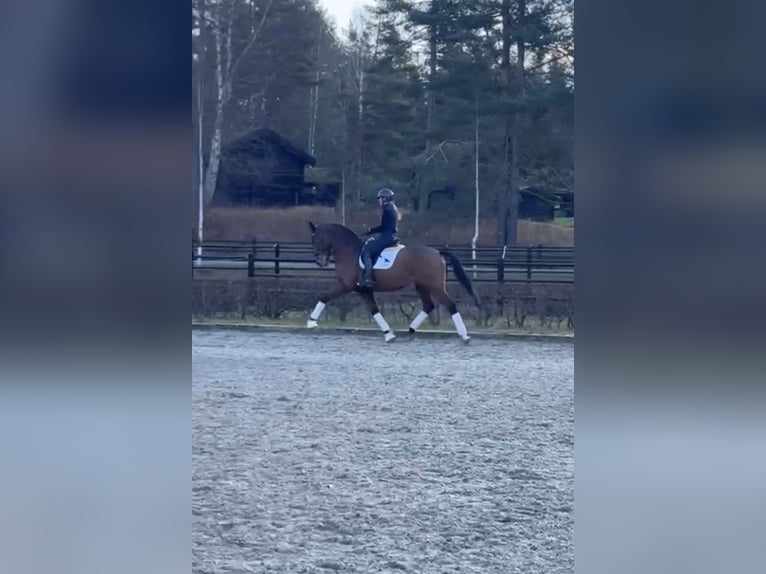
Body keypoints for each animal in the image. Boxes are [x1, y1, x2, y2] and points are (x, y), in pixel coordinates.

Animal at [306, 223, 480, 344]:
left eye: (317, 239)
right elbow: (374, 310)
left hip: (435, 286)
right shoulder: (364, 290)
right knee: (428, 305)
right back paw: (411, 330)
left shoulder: (346, 285)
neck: (349, 251)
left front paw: (311, 322)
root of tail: (437, 252)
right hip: (422, 286)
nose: (319, 262)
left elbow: (324, 298)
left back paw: (464, 336)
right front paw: (389, 335)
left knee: (450, 305)